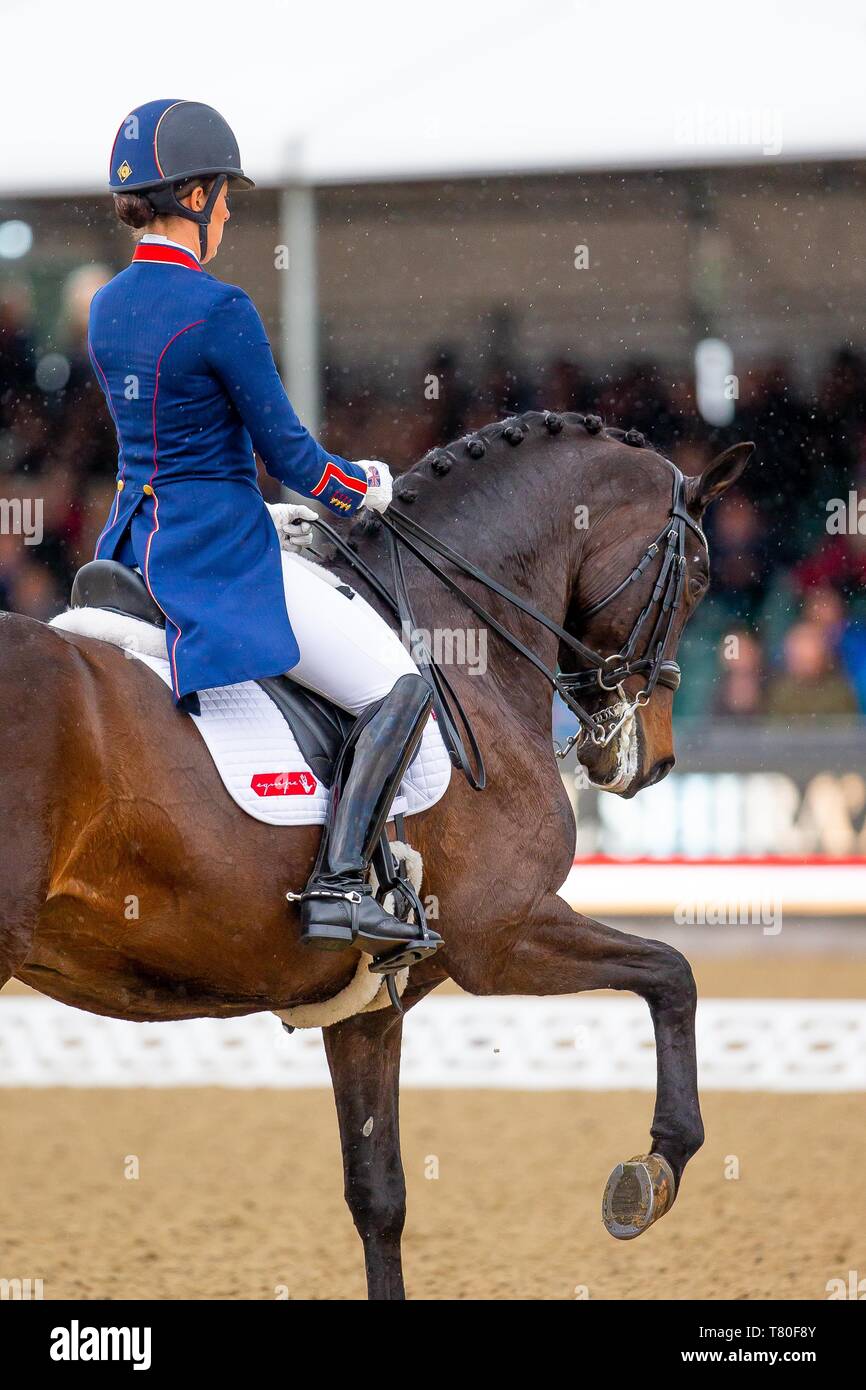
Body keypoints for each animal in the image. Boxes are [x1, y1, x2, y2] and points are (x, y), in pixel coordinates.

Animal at [0, 410, 752, 1299]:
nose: (651, 761)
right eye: (698, 577)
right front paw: (655, 1169)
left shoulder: (365, 1004)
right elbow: (673, 973)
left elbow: (377, 1196)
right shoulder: (502, 937)